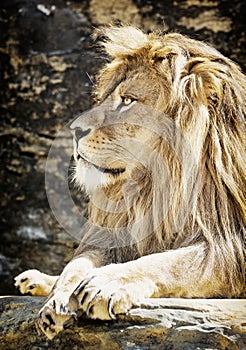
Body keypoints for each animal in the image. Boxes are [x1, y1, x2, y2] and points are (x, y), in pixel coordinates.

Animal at [14, 26, 245, 340]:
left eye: (127, 101)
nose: (73, 130)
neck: (155, 184)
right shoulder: (114, 232)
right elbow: (77, 265)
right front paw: (59, 299)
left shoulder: (230, 244)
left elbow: (169, 263)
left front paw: (105, 284)